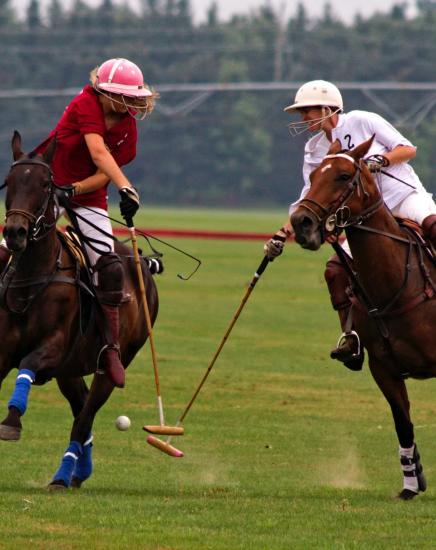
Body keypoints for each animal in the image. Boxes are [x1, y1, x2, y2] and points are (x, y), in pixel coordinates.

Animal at [0, 132, 158, 490]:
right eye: (9, 181)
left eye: (46, 184)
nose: (15, 233)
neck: (33, 276)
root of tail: (143, 262)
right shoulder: (3, 351)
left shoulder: (53, 347)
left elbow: (28, 364)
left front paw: (12, 421)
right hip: (70, 370)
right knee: (81, 407)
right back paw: (78, 472)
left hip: (110, 366)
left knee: (85, 416)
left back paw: (63, 475)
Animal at [290, 137, 436, 500]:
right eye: (313, 176)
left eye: (343, 176)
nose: (301, 222)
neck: (399, 282)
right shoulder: (383, 368)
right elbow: (403, 423)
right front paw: (411, 483)